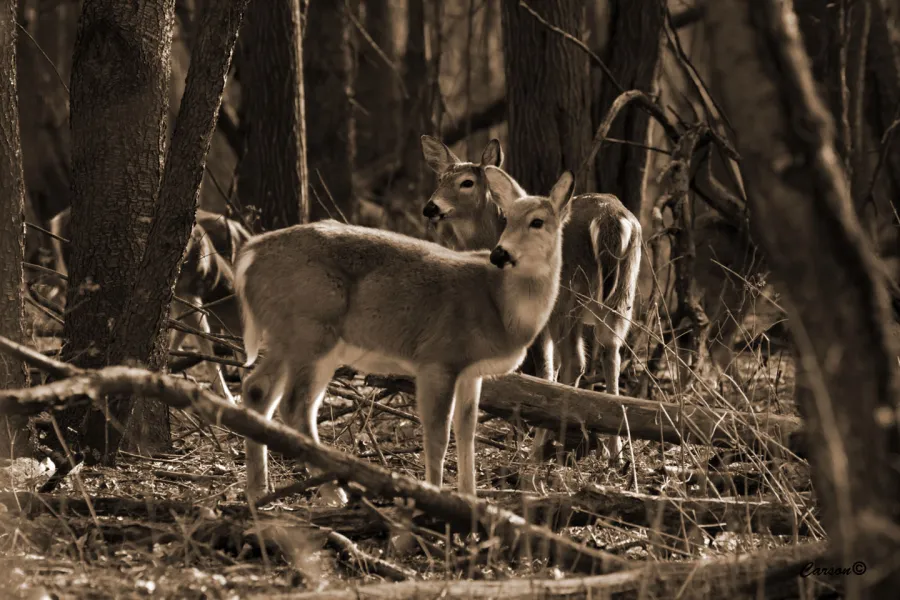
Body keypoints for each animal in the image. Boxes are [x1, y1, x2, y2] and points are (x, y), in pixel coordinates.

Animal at [48, 207, 249, 402]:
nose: (247, 374)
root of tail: (57, 220)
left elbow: (180, 331)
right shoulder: (187, 293)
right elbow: (201, 335)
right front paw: (226, 395)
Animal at [235, 170, 577, 501]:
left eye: (537, 221)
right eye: (507, 220)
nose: (500, 254)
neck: (500, 305)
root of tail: (250, 254)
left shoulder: (471, 371)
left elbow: (466, 431)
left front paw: (471, 498)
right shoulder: (438, 356)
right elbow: (438, 434)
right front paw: (435, 495)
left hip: (289, 336)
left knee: (257, 390)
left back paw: (258, 491)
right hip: (312, 330)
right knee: (295, 406)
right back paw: (334, 493)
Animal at [420, 136, 642, 464]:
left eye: (467, 182)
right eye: (440, 179)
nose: (431, 207)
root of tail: (612, 219)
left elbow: (545, 371)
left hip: (566, 297)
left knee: (575, 363)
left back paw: (549, 448)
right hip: (622, 294)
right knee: (611, 354)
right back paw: (615, 454)